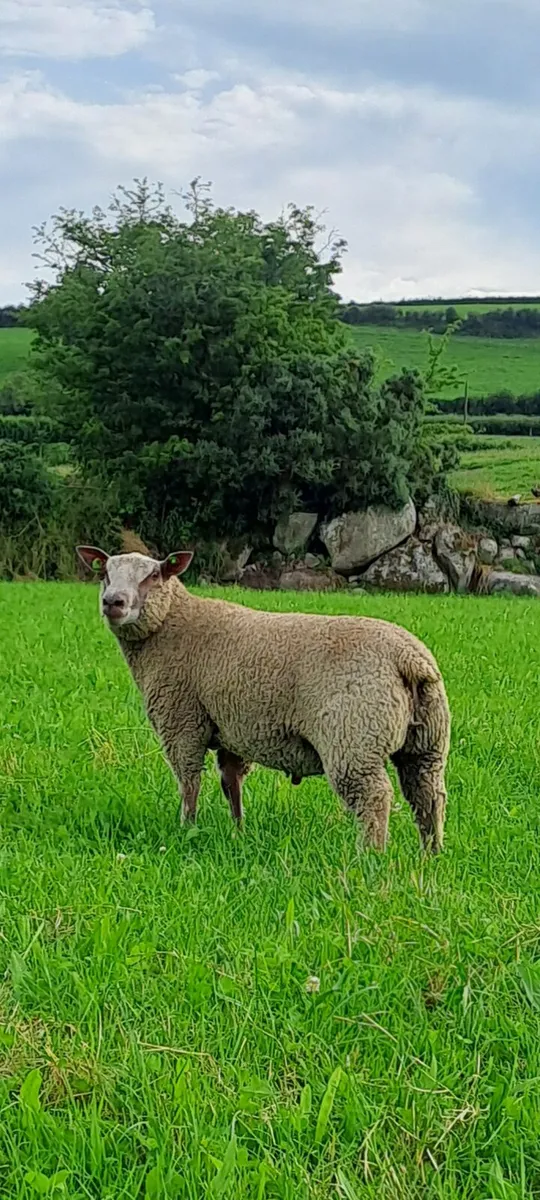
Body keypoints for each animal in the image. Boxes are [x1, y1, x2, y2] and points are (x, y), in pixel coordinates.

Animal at [76, 546, 451, 853]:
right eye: (105, 573)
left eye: (153, 576)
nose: (113, 602)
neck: (172, 625)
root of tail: (408, 658)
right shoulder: (231, 729)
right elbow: (231, 783)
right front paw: (238, 832)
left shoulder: (182, 721)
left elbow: (189, 782)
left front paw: (187, 828)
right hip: (426, 743)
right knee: (428, 795)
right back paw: (430, 855)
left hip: (353, 740)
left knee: (374, 798)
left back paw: (371, 857)